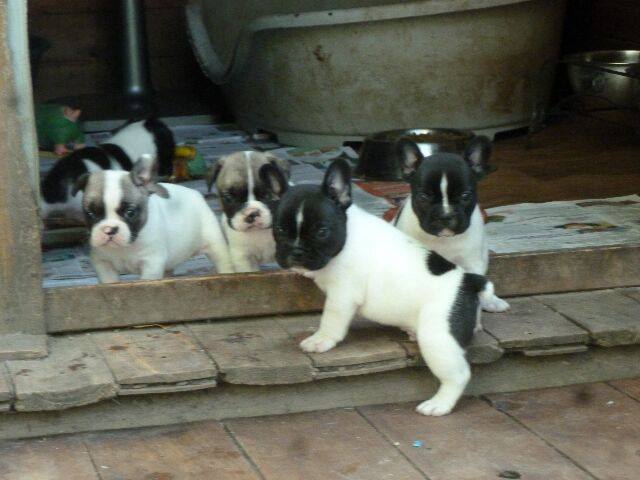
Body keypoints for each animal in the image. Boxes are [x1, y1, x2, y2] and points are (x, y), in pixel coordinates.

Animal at [75, 154, 233, 283]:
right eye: (90, 213)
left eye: (130, 213)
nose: (109, 229)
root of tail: (196, 193)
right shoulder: (102, 263)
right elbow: (109, 282)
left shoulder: (151, 264)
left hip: (213, 240)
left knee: (222, 259)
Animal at [269, 158, 496, 416]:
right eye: (279, 230)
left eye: (321, 231)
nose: (296, 252)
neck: (347, 234)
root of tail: (469, 281)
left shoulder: (342, 294)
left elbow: (331, 319)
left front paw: (321, 339)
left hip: (438, 337)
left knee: (458, 375)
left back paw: (439, 404)